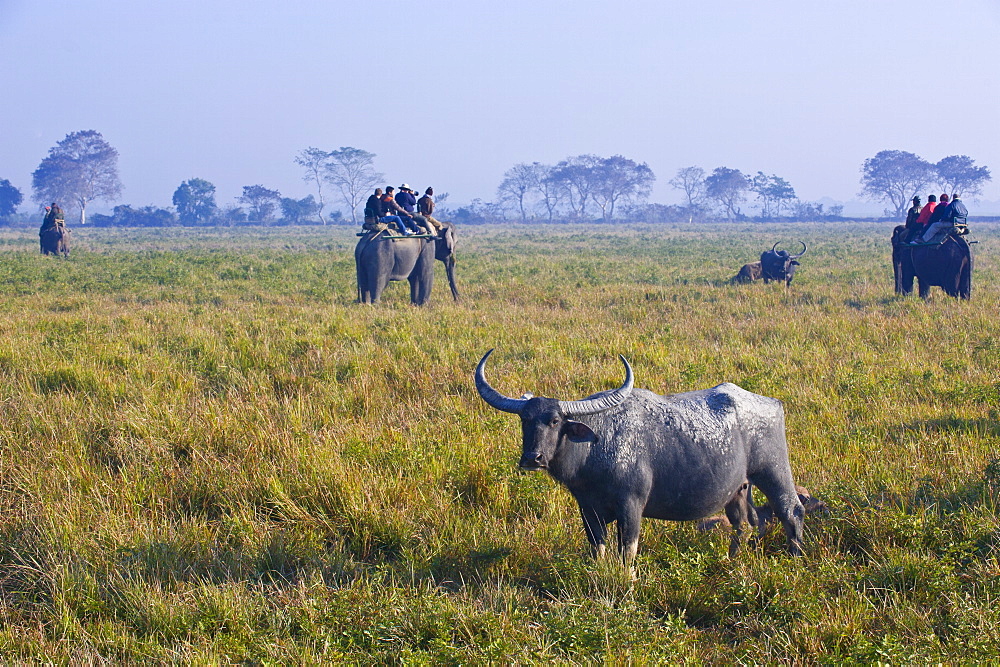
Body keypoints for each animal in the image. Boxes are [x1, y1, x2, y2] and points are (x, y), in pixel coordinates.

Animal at [474, 350, 804, 564]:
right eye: (525, 420)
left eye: (555, 421)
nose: (533, 457)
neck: (596, 447)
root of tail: (771, 403)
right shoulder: (588, 510)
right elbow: (598, 549)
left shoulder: (631, 506)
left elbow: (627, 550)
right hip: (738, 489)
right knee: (745, 524)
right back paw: (733, 561)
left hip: (773, 471)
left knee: (791, 510)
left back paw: (796, 558)